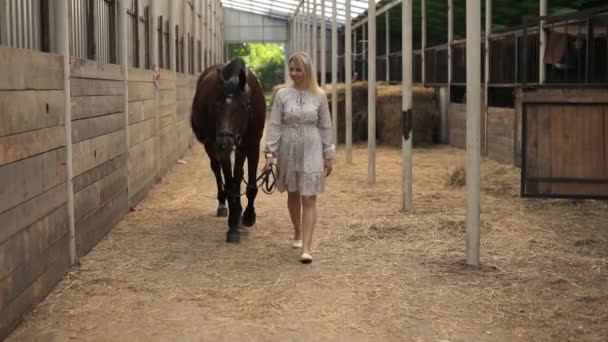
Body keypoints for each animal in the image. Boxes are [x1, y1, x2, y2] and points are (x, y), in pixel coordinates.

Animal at [190, 57, 266, 242]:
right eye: (217, 106)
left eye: (244, 105)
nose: (225, 139)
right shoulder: (222, 146)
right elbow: (230, 182)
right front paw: (232, 225)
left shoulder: (252, 144)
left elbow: (249, 184)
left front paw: (248, 216)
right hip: (211, 143)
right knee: (217, 169)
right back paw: (223, 205)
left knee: (237, 174)